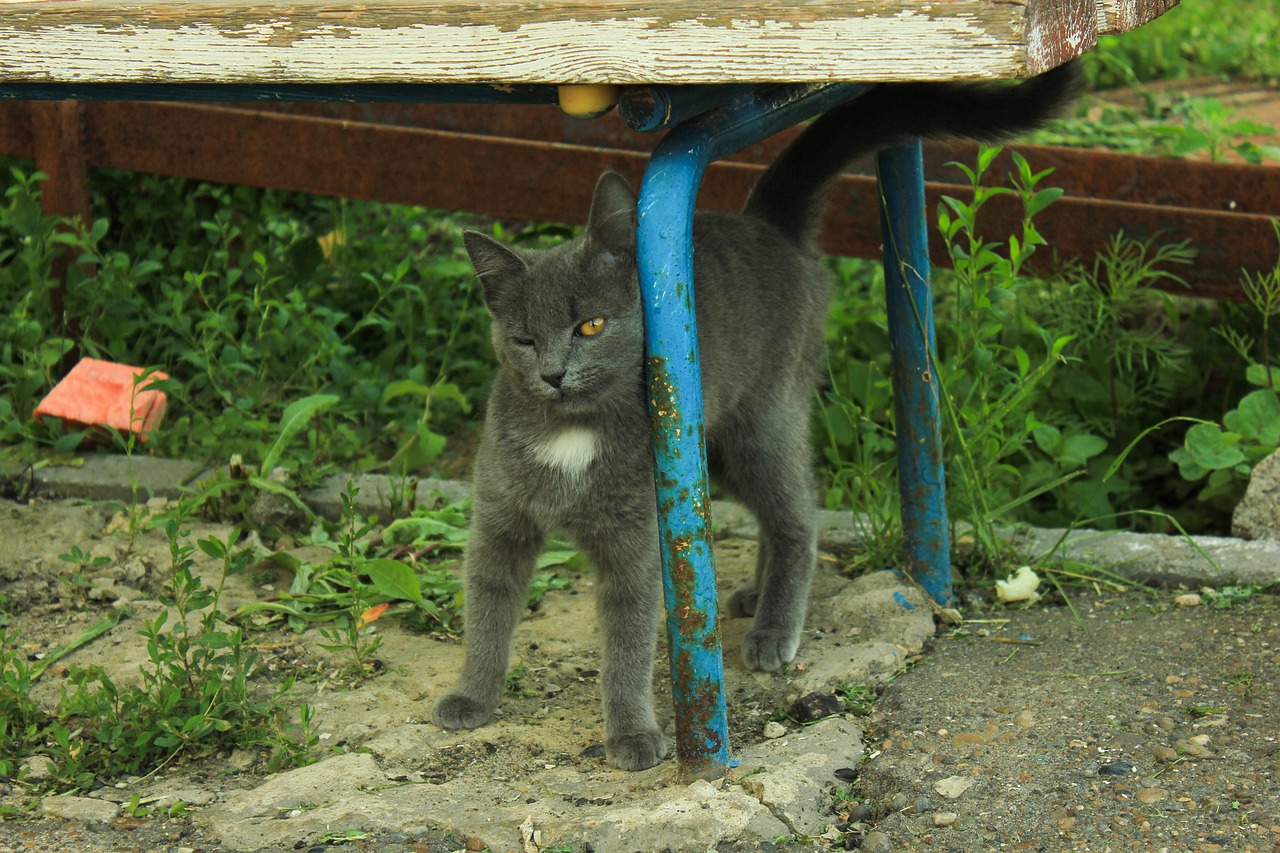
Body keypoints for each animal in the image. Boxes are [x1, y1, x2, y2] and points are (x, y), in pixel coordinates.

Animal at [432, 61, 1080, 768]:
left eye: (591, 326)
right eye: (523, 339)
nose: (552, 373)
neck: (571, 435)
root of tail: (768, 223)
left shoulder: (637, 542)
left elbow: (627, 643)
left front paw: (632, 734)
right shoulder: (500, 522)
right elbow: (487, 606)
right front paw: (471, 696)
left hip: (761, 421)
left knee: (799, 512)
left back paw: (774, 628)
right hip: (711, 453)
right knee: (774, 510)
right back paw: (751, 595)